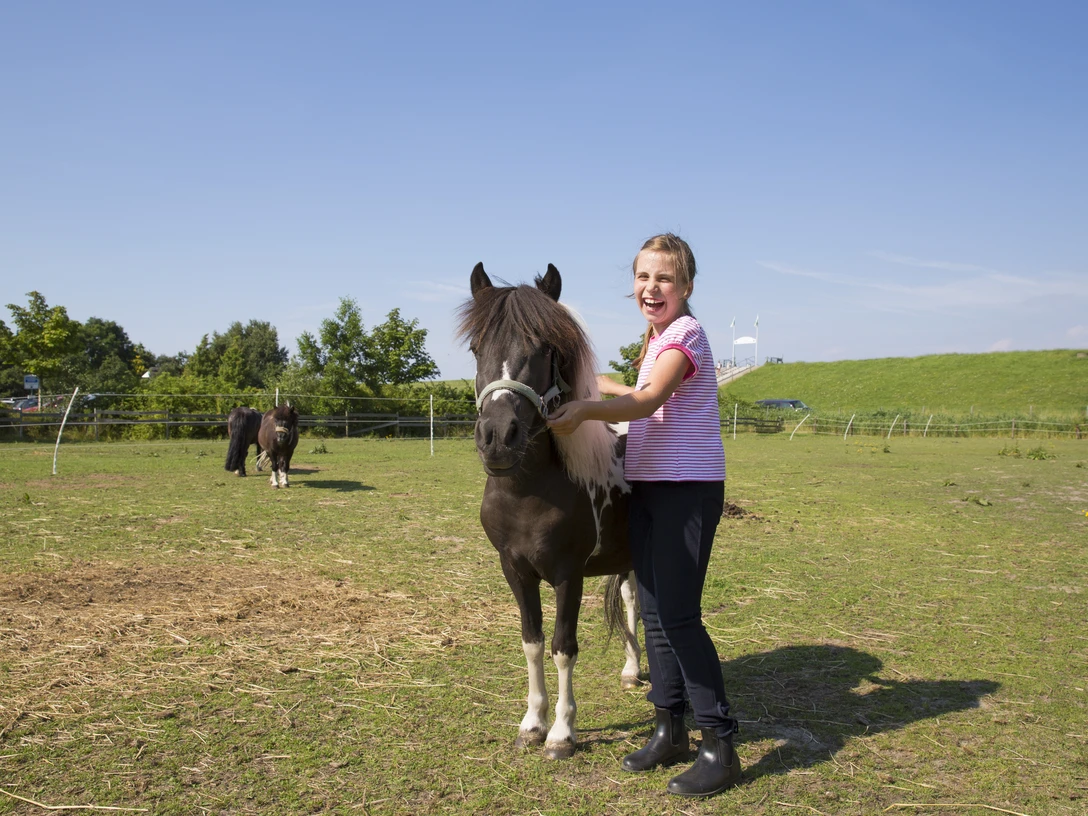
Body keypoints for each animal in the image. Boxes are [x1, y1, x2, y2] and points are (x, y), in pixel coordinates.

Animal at [456, 262, 642, 760]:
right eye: (475, 348)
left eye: (546, 349)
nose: (498, 437)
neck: (528, 494)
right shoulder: (515, 570)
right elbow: (533, 642)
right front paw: (532, 723)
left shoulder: (567, 573)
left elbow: (562, 647)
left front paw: (561, 733)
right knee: (631, 601)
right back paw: (633, 670)